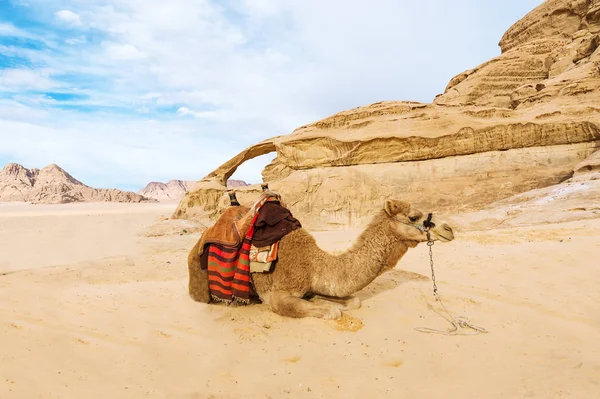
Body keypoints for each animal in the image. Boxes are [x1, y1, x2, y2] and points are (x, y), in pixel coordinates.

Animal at [188, 200, 454, 322]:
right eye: (413, 216)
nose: (448, 229)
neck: (315, 264)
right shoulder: (278, 295)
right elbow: (332, 312)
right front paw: (327, 307)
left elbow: (353, 300)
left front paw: (325, 301)